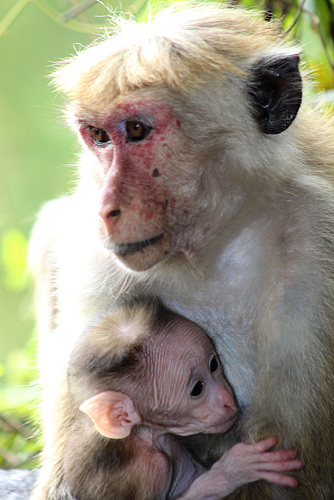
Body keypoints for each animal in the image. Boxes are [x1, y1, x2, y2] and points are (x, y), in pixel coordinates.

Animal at [65, 298, 302, 498]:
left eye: (213, 364)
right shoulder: (149, 470)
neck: (142, 435)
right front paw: (232, 471)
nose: (227, 399)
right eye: (197, 389)